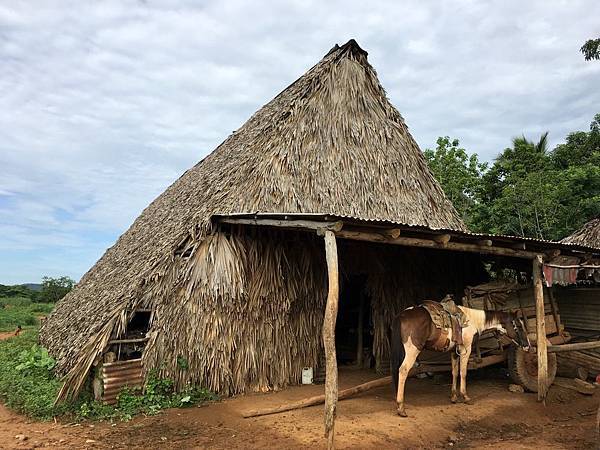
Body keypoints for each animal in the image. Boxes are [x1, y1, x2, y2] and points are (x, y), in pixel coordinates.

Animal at [390, 300, 528, 416]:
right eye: (518, 326)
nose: (527, 346)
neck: (472, 321)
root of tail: (401, 316)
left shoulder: (454, 352)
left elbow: (455, 372)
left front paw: (454, 397)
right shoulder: (465, 349)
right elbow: (463, 372)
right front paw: (465, 397)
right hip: (413, 350)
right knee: (403, 370)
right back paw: (401, 407)